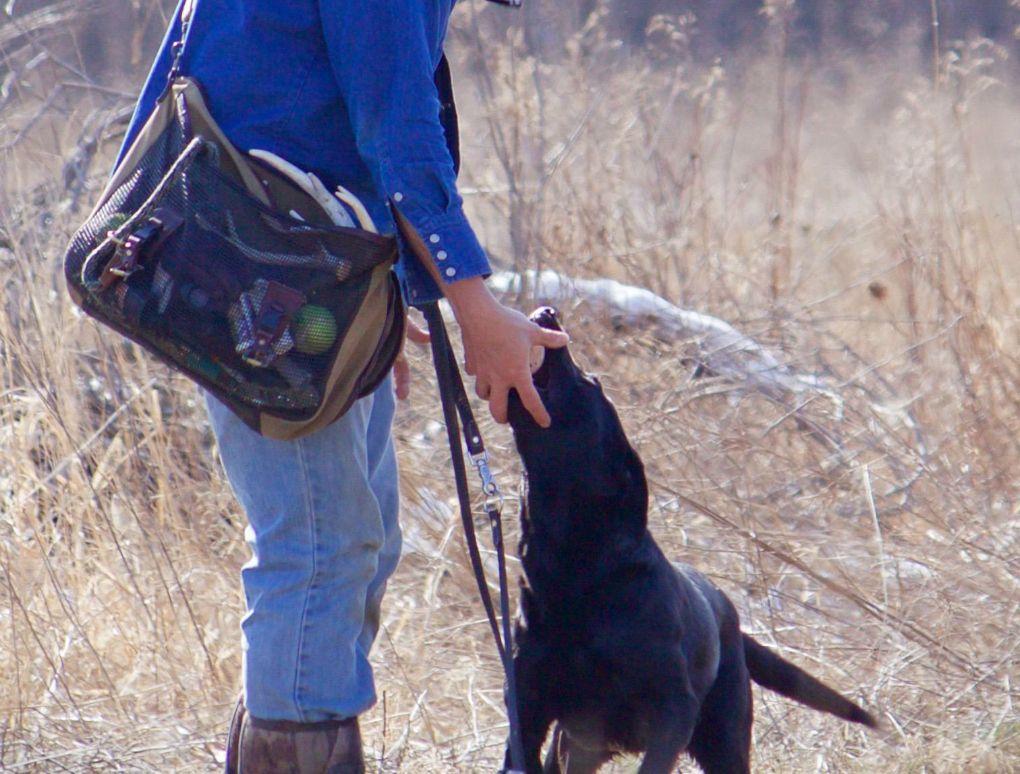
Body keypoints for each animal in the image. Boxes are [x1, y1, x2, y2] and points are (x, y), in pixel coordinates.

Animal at [503, 307, 877, 774]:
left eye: (591, 382)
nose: (548, 311)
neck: (577, 571)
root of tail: (728, 611)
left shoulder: (673, 710)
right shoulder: (529, 704)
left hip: (723, 738)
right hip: (576, 742)